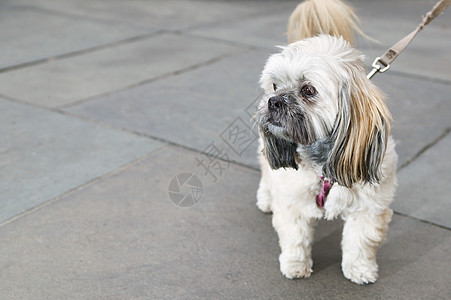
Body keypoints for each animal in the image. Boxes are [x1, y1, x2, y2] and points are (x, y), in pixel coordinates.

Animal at [256, 0, 398, 286]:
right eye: (275, 85)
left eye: (308, 90)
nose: (273, 101)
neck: (323, 164)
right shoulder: (293, 200)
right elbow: (295, 237)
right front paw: (295, 265)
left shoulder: (369, 206)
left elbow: (360, 242)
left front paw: (360, 270)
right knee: (266, 171)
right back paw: (265, 199)